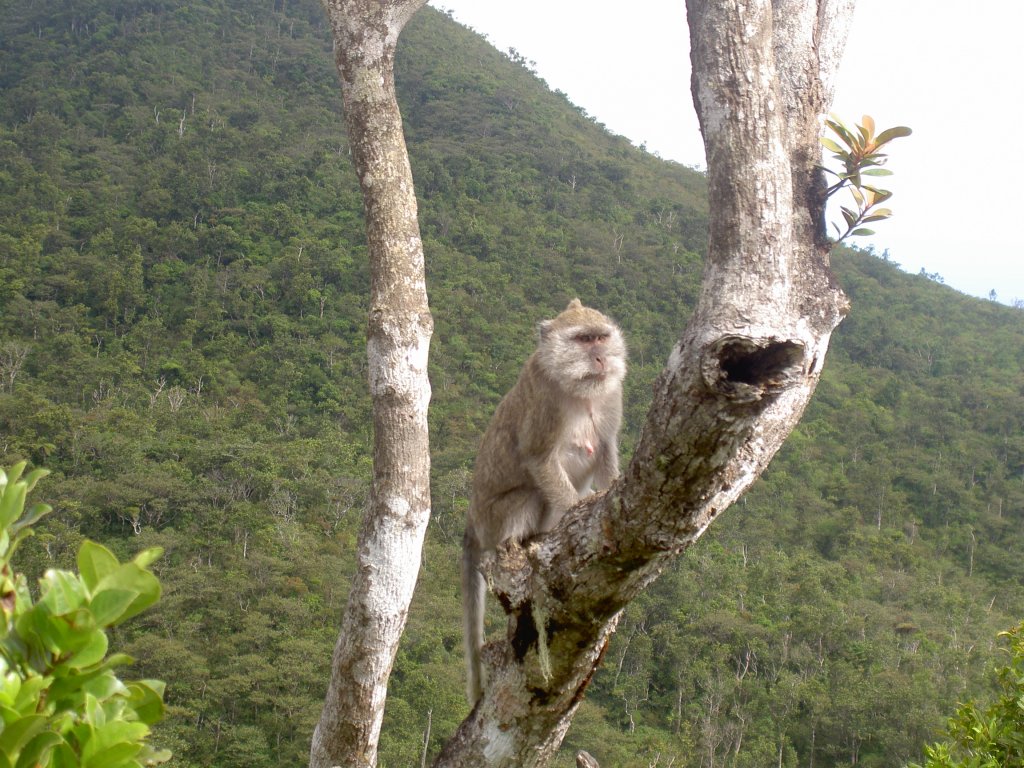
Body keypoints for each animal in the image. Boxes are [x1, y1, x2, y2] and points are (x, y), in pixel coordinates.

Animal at [462, 299, 622, 704]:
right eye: (583, 340)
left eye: (601, 337)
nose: (600, 358)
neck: (577, 389)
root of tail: (472, 519)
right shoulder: (546, 404)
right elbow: (539, 459)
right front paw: (575, 510)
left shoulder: (611, 397)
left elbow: (605, 451)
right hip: (494, 518)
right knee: (531, 493)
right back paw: (522, 542)